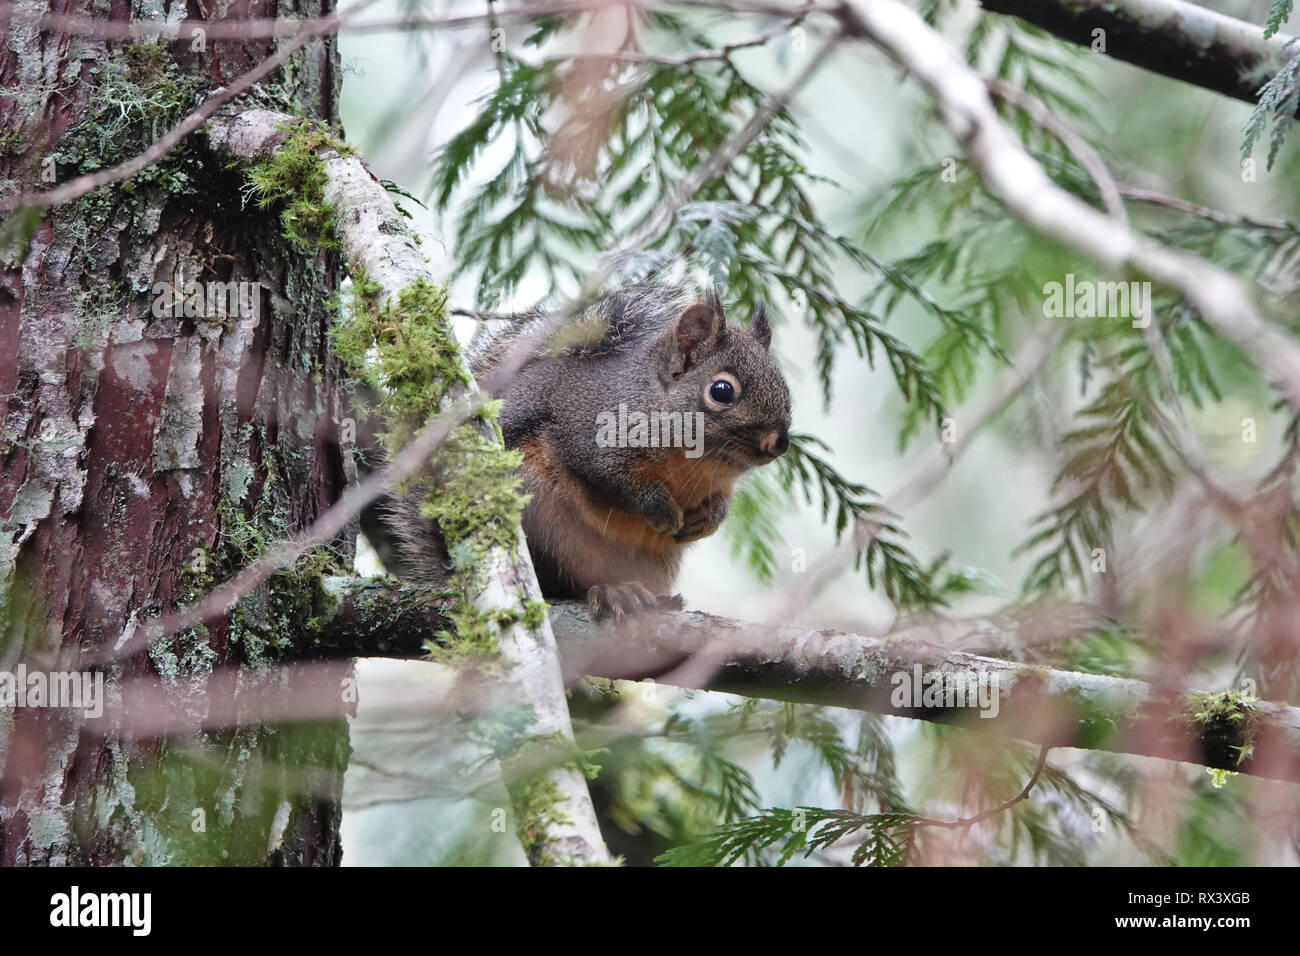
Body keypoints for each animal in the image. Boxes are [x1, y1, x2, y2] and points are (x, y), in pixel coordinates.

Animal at [381, 280, 792, 618]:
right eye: (722, 391)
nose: (779, 443)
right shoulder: (588, 438)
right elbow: (616, 482)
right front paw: (663, 514)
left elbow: (721, 503)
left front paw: (705, 521)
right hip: (536, 509)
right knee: (559, 586)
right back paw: (612, 593)